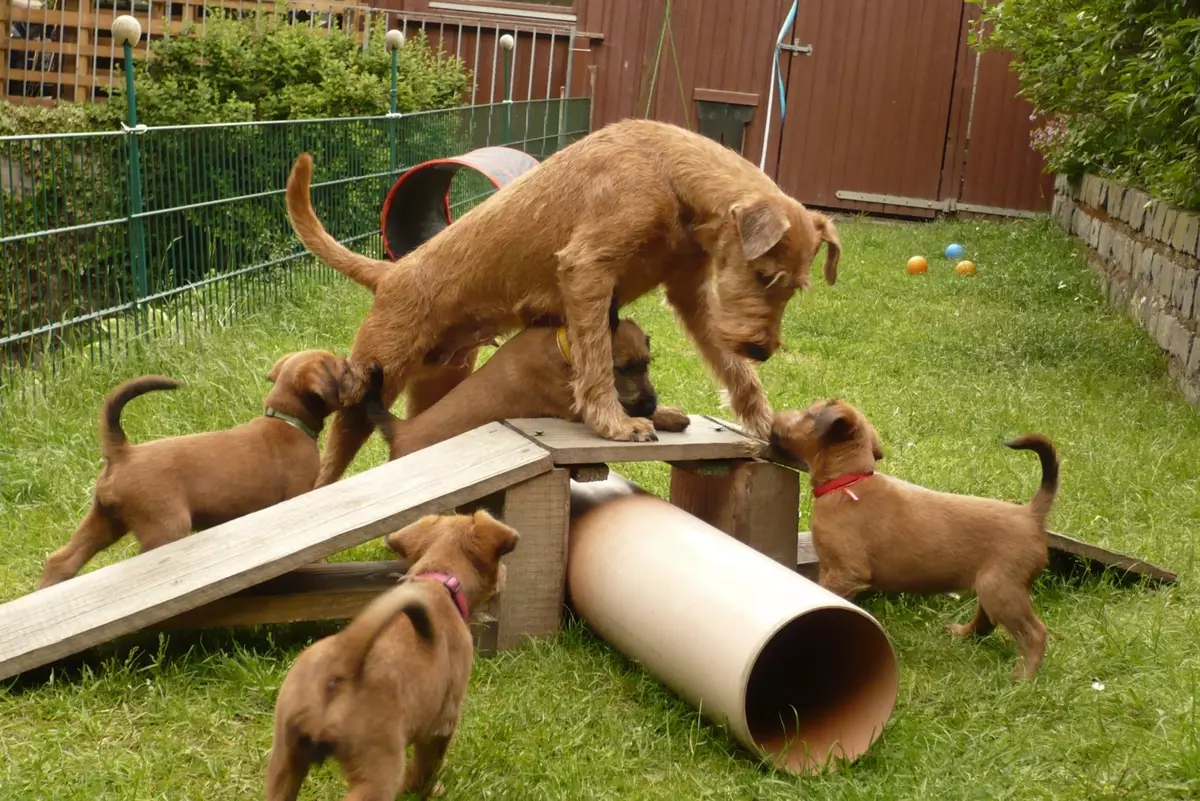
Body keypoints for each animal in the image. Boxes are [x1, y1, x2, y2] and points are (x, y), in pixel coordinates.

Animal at [36, 350, 374, 587]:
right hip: (165, 528)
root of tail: (122, 453)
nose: (371, 370)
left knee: (61, 560)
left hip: (104, 521)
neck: (287, 420)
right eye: (344, 369)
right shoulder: (299, 496)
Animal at [268, 513, 520, 801]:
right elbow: (425, 767)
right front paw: (425, 790)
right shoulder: (442, 723)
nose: (506, 575)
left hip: (284, 762)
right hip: (379, 773)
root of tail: (343, 660)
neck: (437, 580)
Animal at [364, 311, 696, 462]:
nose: (651, 403)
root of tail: (401, 431)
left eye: (647, 364)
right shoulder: (577, 406)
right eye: (622, 369)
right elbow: (617, 408)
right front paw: (649, 421)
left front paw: (666, 413)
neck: (563, 351)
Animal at [768, 398, 1060, 676]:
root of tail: (1030, 514)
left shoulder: (846, 572)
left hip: (1001, 588)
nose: (775, 417)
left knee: (1035, 633)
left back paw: (1023, 677)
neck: (847, 482)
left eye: (808, 414)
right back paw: (963, 634)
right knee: (987, 622)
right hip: (991, 586)